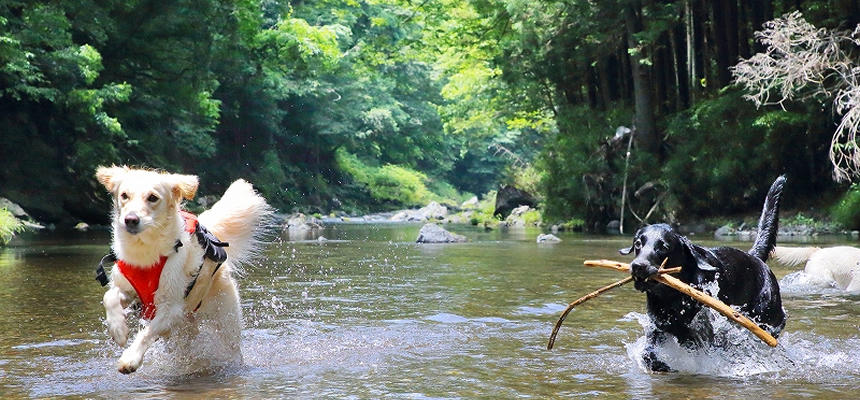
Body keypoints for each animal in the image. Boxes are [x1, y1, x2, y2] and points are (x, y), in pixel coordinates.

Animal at [93, 165, 270, 372]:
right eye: (124, 195)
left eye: (152, 197)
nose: (130, 219)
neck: (146, 253)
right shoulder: (129, 290)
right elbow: (109, 297)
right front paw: (118, 330)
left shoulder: (171, 307)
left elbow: (147, 332)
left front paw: (130, 358)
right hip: (185, 329)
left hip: (225, 319)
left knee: (230, 347)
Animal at [620, 175, 788, 372]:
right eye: (638, 243)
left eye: (663, 247)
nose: (638, 266)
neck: (672, 296)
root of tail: (756, 258)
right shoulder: (659, 326)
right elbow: (648, 353)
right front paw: (660, 364)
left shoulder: (704, 330)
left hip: (768, 318)